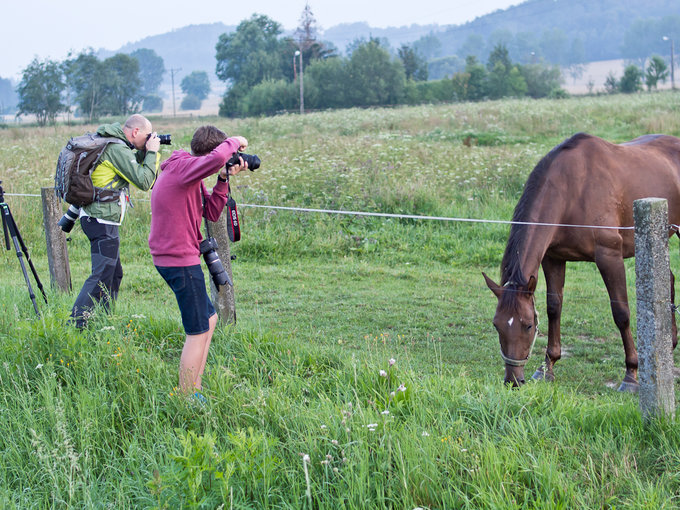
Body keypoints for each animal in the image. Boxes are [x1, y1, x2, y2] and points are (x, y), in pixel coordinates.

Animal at [484, 131, 680, 390]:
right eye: (497, 324)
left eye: (528, 325)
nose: (513, 380)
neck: (572, 191)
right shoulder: (553, 258)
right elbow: (554, 307)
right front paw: (547, 367)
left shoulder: (609, 257)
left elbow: (621, 313)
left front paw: (631, 375)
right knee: (669, 279)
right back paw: (670, 341)